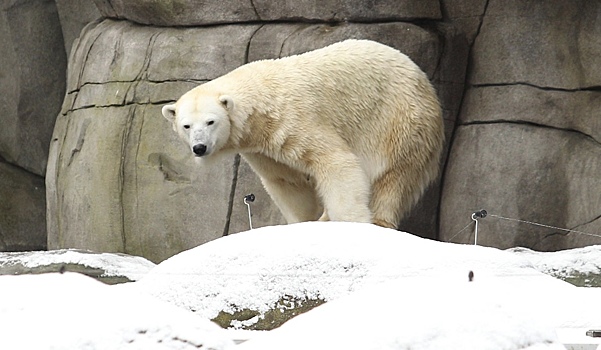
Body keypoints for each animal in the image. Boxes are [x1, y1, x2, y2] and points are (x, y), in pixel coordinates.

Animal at [162, 39, 442, 230]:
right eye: (186, 126)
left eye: (211, 121)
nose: (199, 147)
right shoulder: (262, 146)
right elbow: (287, 182)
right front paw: (302, 222)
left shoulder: (295, 118)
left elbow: (336, 162)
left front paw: (349, 222)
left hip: (398, 121)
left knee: (392, 175)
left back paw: (378, 220)